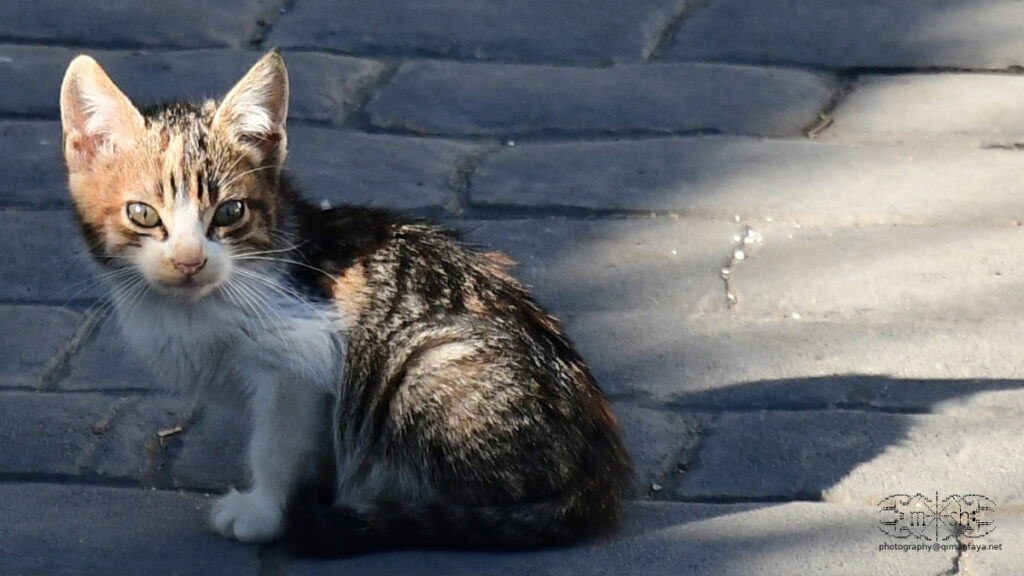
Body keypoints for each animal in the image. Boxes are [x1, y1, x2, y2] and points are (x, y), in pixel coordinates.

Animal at [59, 51, 634, 553]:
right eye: (142, 214)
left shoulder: (301, 360)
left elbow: (276, 444)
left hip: (423, 367)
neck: (196, 305)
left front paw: (264, 511)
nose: (188, 260)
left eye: (230, 213)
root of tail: (600, 469)